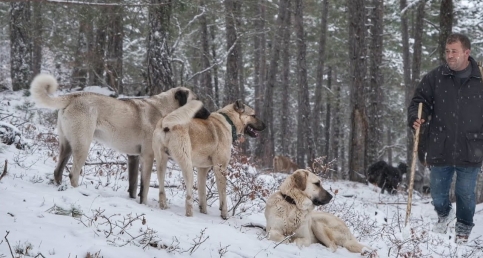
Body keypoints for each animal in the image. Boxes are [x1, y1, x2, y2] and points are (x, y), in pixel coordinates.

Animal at [29, 72, 208, 196]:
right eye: (197, 102)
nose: (208, 113)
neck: (165, 111)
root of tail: (74, 96)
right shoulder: (148, 157)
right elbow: (144, 187)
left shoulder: (133, 158)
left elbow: (133, 187)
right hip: (82, 146)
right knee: (73, 174)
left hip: (66, 146)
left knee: (58, 171)